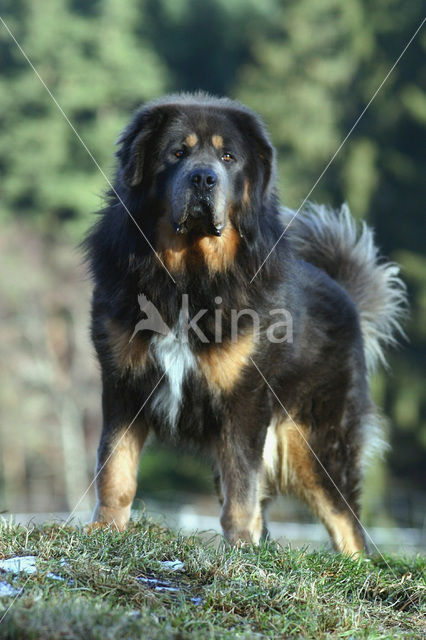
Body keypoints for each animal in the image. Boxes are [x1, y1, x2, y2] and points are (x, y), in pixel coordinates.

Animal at [84, 92, 406, 552]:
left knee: (348, 525)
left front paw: (239, 549)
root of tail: (344, 293)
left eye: (228, 157)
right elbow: (115, 471)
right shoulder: (123, 383)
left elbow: (241, 493)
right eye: (177, 153)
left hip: (317, 444)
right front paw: (105, 530)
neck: (188, 276)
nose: (203, 178)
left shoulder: (244, 401)